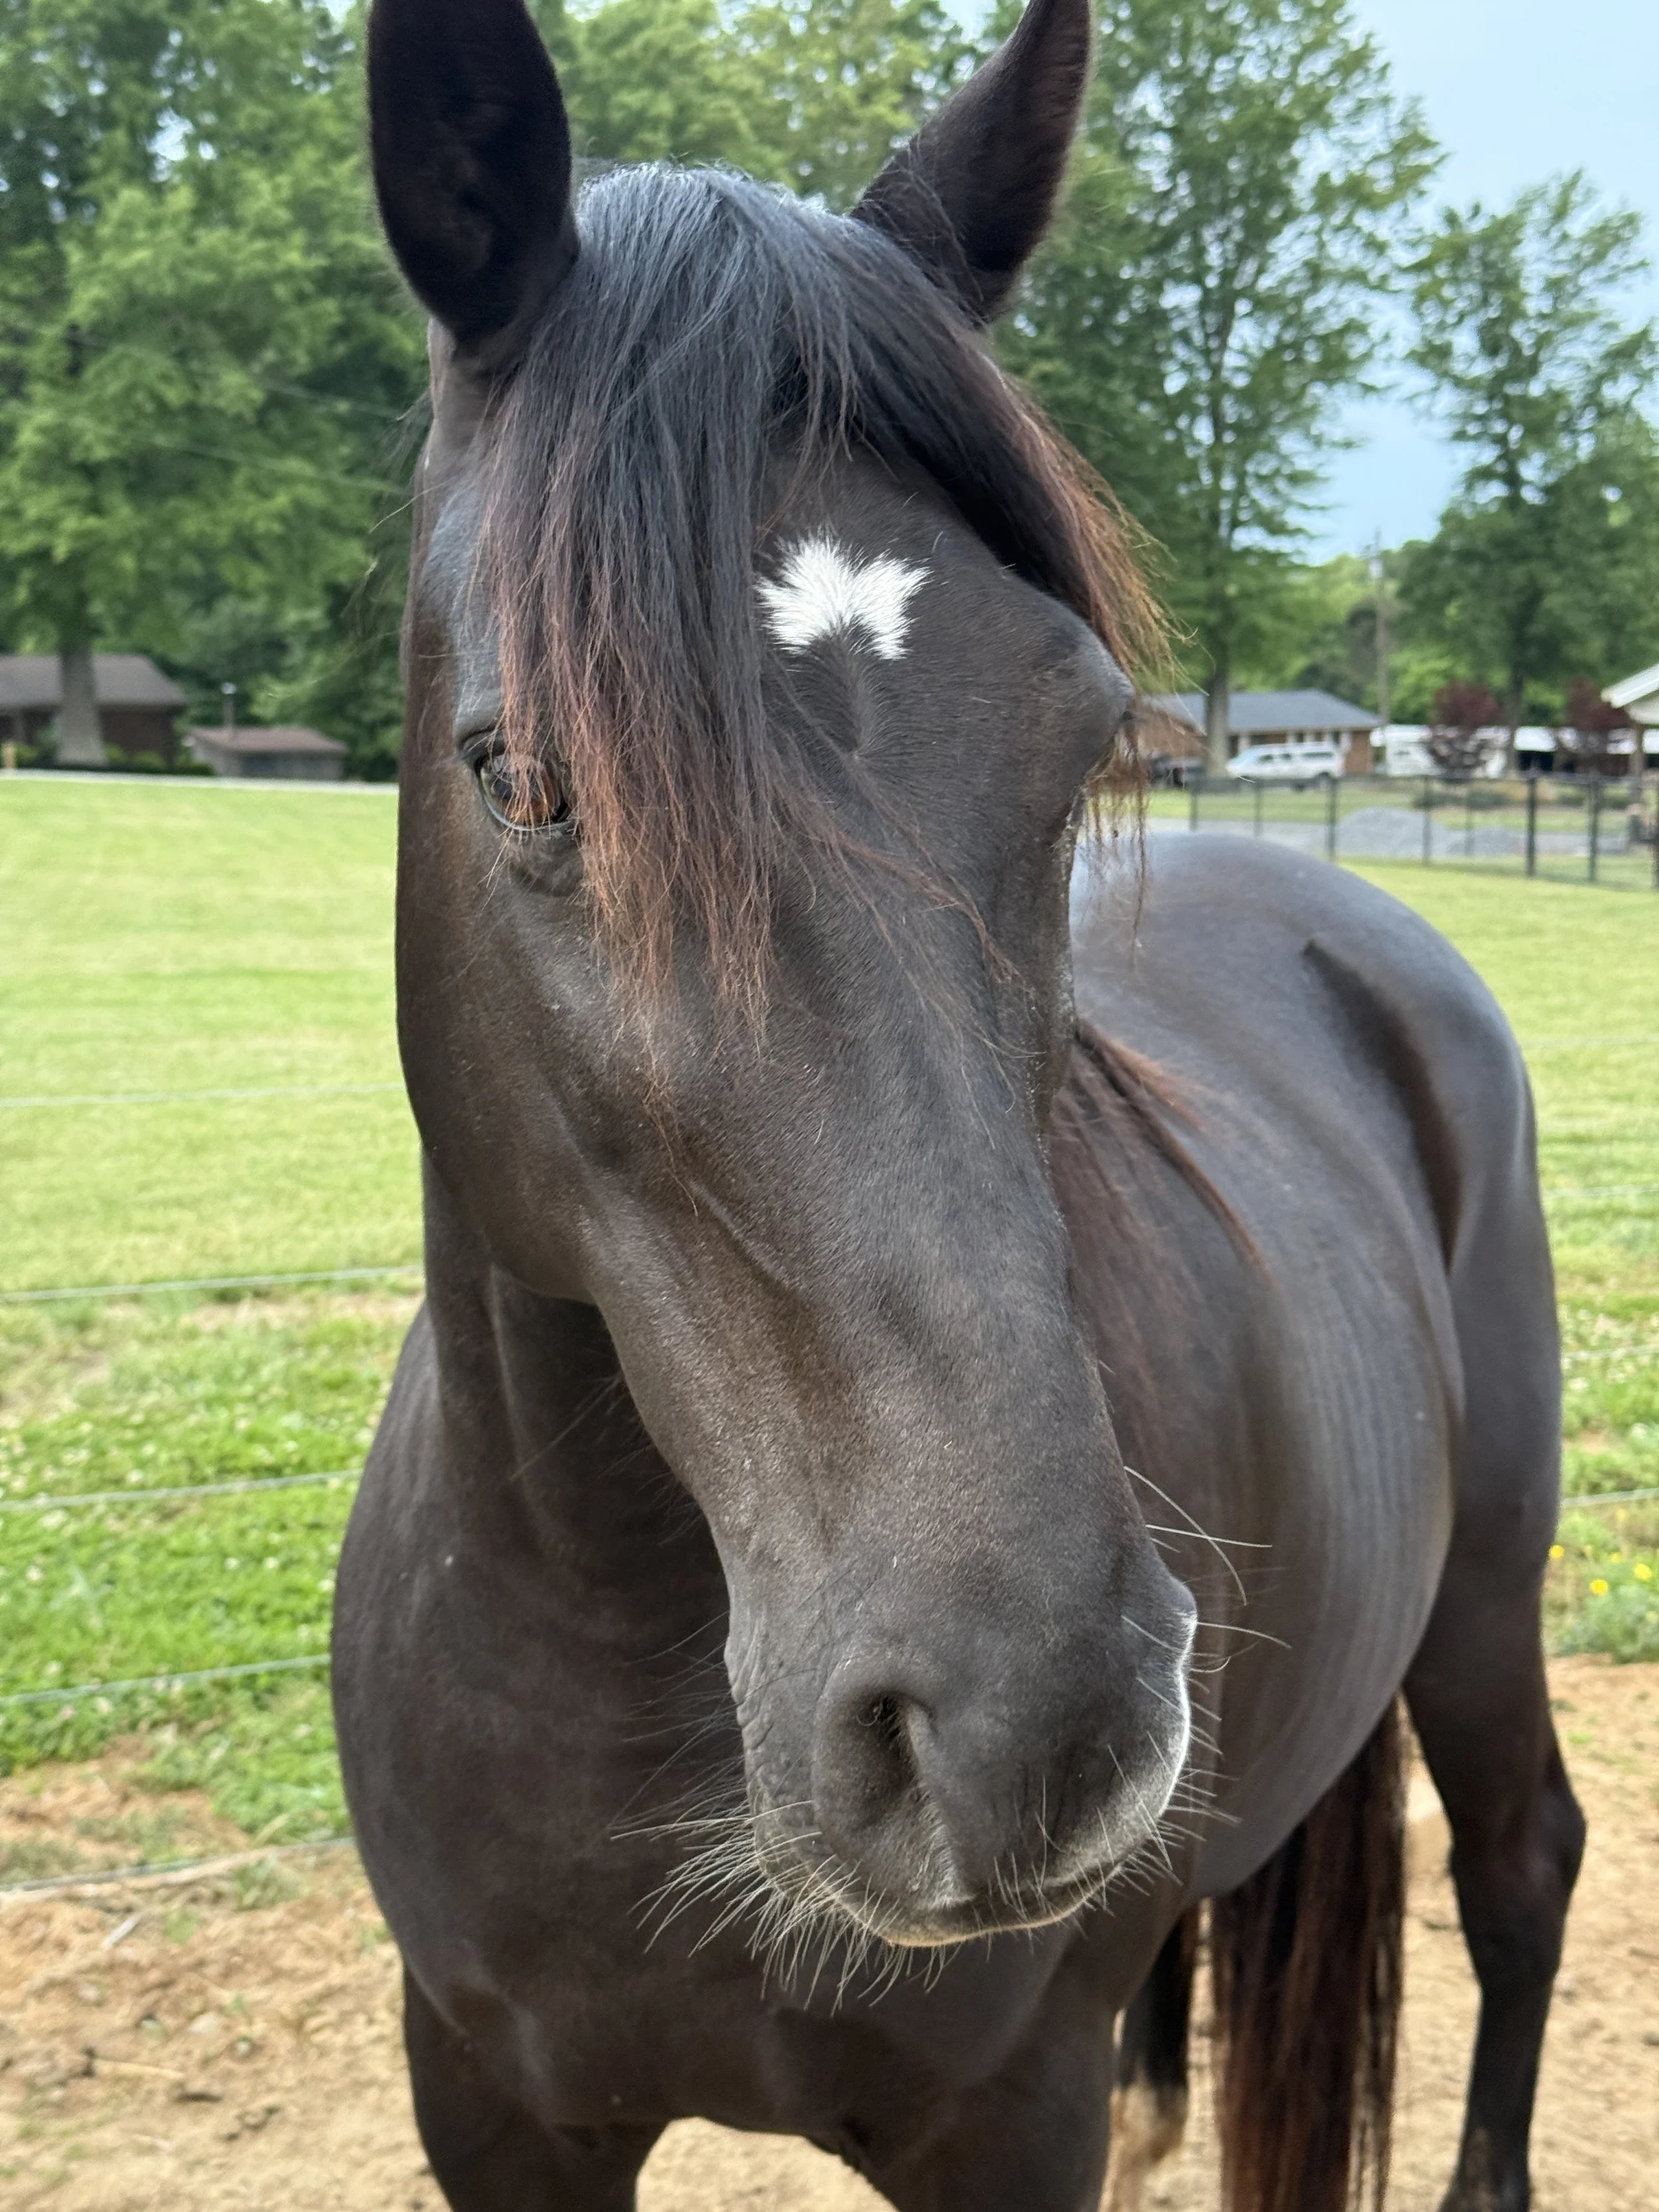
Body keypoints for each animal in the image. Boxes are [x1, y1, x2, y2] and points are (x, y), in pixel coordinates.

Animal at [333, 2, 1584, 2206]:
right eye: (519, 771)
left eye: (1082, 742)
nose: (1032, 1720)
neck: (607, 1640)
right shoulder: (485, 2096)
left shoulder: (1001, 2123)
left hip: (1483, 1597)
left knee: (1520, 1864)